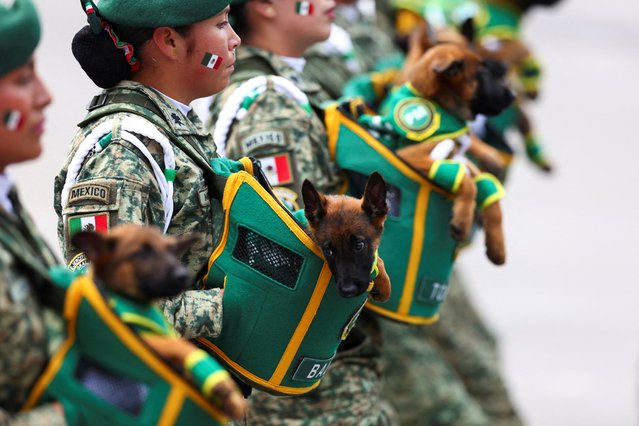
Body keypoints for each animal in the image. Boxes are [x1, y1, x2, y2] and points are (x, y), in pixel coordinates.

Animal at [72, 225, 248, 422]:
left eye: (171, 251)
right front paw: (225, 390)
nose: (183, 275)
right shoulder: (142, 340)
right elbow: (180, 347)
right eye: (141, 252)